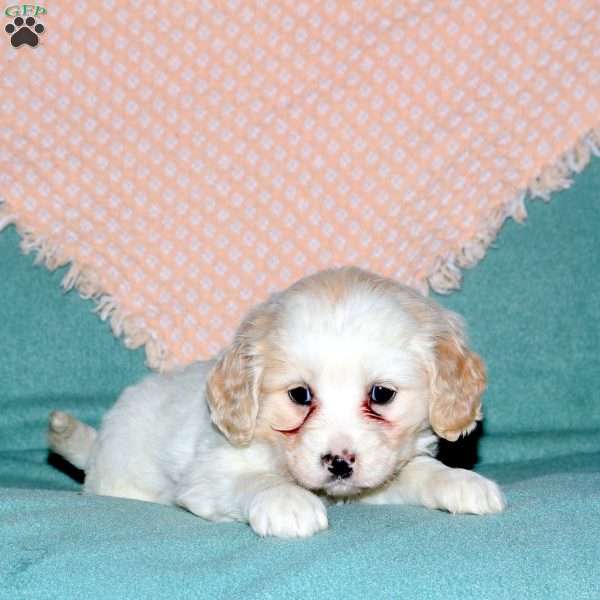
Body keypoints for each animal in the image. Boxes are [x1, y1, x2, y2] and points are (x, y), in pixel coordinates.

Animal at [49, 268, 504, 540]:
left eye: (381, 394)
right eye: (300, 395)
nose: (339, 463)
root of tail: (97, 447)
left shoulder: (376, 480)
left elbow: (421, 471)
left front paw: (461, 482)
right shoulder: (208, 476)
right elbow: (255, 480)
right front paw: (287, 501)